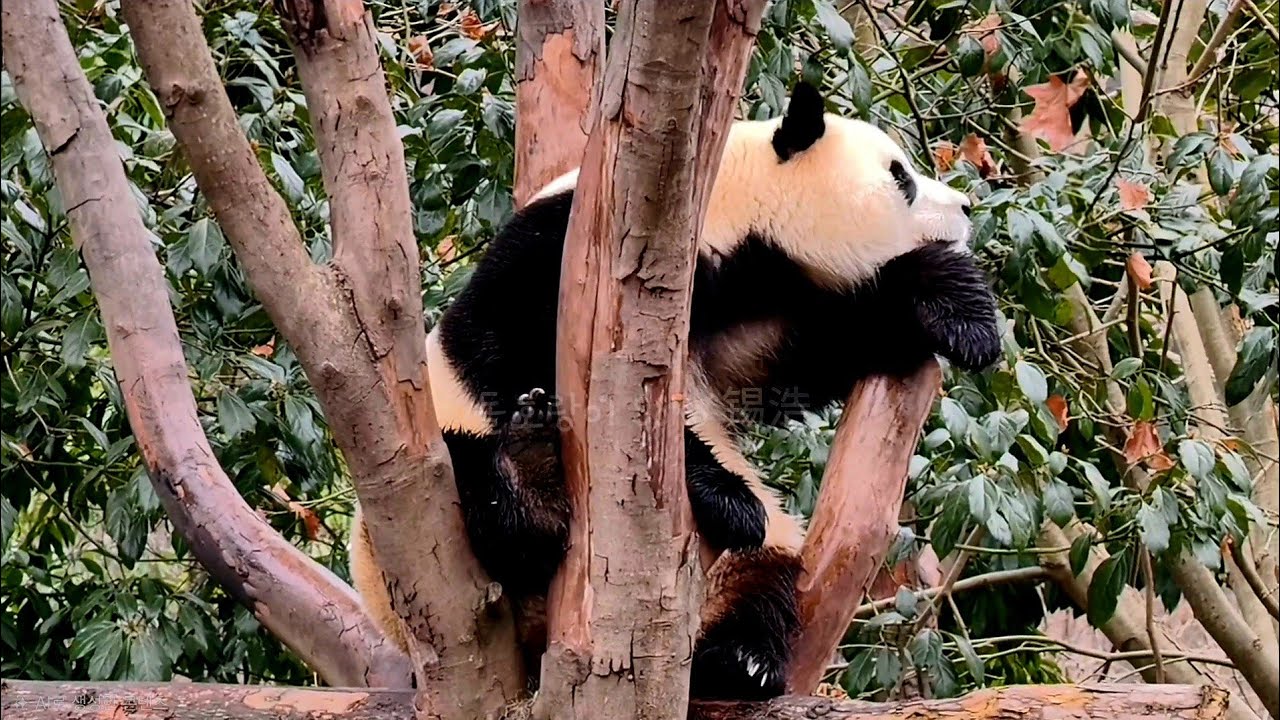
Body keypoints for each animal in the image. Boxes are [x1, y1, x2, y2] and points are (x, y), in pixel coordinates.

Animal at [350, 80, 1001, 700]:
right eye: (901, 178)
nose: (967, 206)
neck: (723, 209)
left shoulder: (760, 311)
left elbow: (824, 351)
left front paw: (961, 314)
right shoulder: (563, 247)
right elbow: (527, 360)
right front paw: (726, 495)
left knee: (763, 575)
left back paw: (739, 661)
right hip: (398, 539)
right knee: (474, 484)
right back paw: (529, 484)